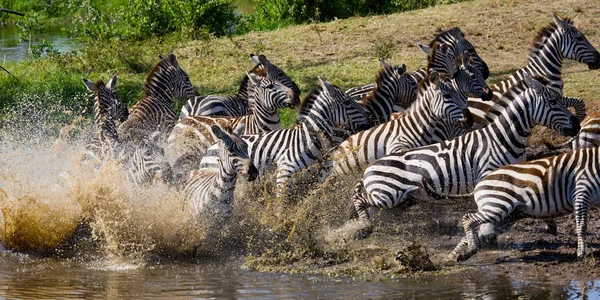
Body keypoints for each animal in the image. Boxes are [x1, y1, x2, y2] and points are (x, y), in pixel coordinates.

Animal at [350, 74, 580, 233]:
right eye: (553, 102)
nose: (577, 125)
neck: (501, 138)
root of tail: (369, 168)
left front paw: (550, 224)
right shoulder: (491, 175)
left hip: (396, 200)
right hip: (387, 195)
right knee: (360, 200)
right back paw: (365, 227)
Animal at [452, 146, 600, 262]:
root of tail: (479, 183)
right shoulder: (581, 191)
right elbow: (581, 226)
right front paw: (581, 253)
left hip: (508, 216)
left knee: (477, 233)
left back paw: (456, 254)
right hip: (498, 205)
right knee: (468, 219)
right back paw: (470, 249)